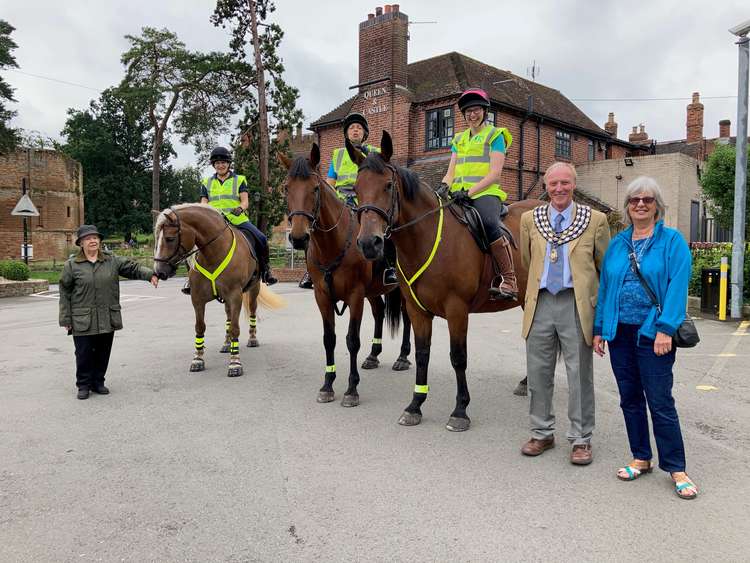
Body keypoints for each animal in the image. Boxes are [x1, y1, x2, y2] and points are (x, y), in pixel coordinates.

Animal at [153, 204, 284, 378]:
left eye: (169, 238)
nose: (159, 272)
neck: (213, 252)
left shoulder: (235, 296)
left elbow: (235, 328)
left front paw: (235, 362)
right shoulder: (197, 299)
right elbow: (200, 327)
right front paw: (198, 359)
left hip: (253, 290)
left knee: (252, 311)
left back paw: (252, 339)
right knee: (228, 316)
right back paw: (227, 343)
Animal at [280, 145, 414, 408]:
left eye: (315, 188)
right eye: (287, 188)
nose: (299, 238)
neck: (334, 244)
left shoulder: (355, 296)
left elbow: (352, 340)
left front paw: (352, 389)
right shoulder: (322, 297)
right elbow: (329, 338)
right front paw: (327, 385)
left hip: (399, 290)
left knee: (406, 317)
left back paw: (403, 357)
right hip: (373, 292)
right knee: (379, 312)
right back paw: (373, 355)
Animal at [350, 131, 544, 432]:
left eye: (388, 185)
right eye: (357, 189)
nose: (369, 243)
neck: (430, 236)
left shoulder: (457, 309)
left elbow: (458, 357)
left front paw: (460, 410)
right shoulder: (417, 310)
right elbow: (422, 354)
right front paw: (415, 405)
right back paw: (526, 383)